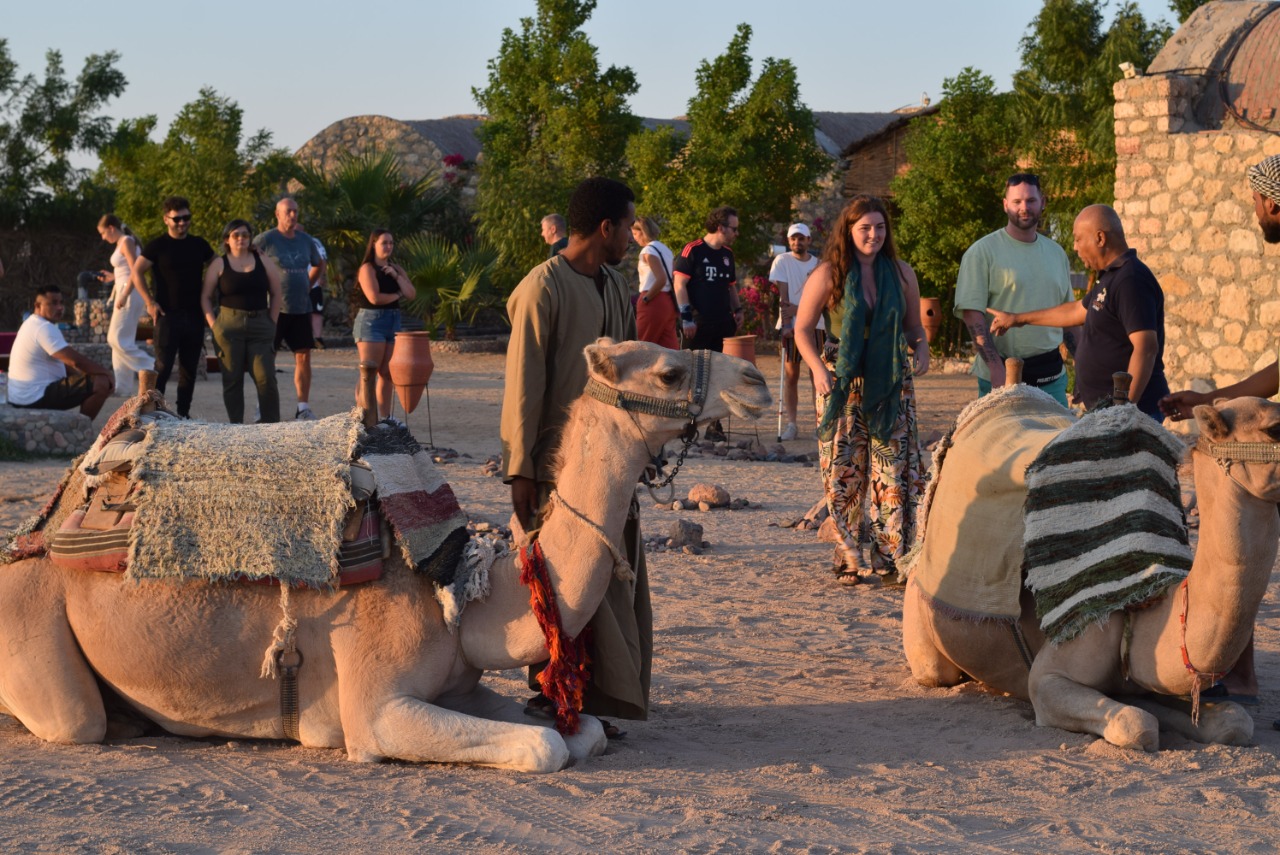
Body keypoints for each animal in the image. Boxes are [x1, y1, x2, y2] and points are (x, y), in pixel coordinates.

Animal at [0, 343, 768, 773]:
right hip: (34, 624)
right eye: (669, 370)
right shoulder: (376, 706)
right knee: (74, 720)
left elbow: (582, 738)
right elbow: (548, 748)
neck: (457, 586)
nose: (756, 380)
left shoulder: (457, 683)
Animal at [906, 394, 1274, 747]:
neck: (1139, 606)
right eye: (1273, 428)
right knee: (936, 671)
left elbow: (1233, 721)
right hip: (925, 633)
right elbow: (1137, 724)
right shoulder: (1048, 680)